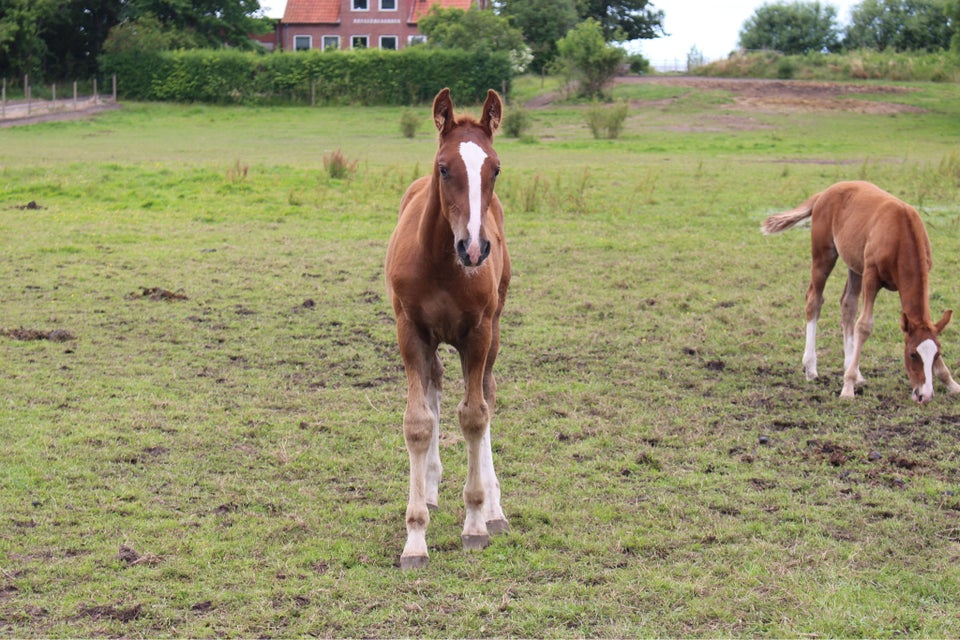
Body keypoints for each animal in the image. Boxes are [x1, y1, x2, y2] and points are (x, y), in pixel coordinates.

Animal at [386, 87, 512, 568]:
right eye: (443, 167)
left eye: (495, 168)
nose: (474, 248)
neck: (441, 262)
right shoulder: (411, 332)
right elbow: (418, 422)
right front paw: (415, 538)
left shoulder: (477, 334)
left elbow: (475, 415)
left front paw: (476, 522)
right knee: (436, 385)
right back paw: (432, 485)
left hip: (493, 331)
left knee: (488, 394)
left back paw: (494, 508)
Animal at [760, 178, 956, 402]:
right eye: (913, 354)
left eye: (937, 354)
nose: (925, 395)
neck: (900, 231)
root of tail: (824, 193)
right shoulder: (871, 277)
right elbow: (864, 326)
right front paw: (847, 388)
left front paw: (951, 382)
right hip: (824, 255)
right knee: (814, 300)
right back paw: (811, 368)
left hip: (854, 267)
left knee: (848, 305)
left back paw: (854, 370)